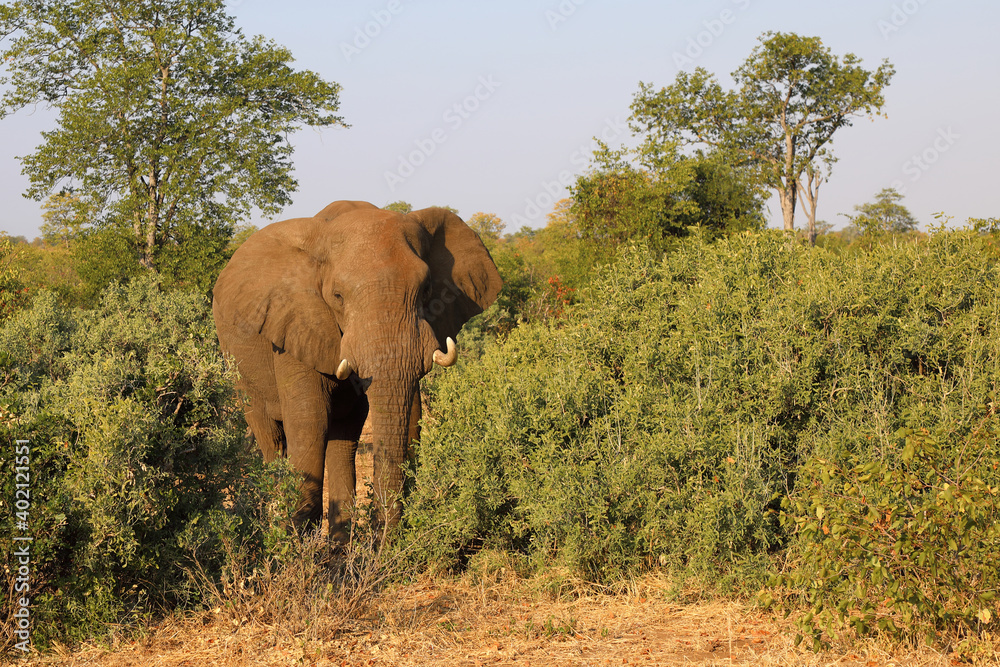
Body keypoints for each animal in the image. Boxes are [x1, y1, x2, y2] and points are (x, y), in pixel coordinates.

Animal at [212, 201, 502, 542]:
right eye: (337, 296)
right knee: (270, 436)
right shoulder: (295, 322)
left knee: (342, 435)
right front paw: (297, 547)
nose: (383, 542)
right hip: (237, 366)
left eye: (427, 288)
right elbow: (310, 421)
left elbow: (393, 419)